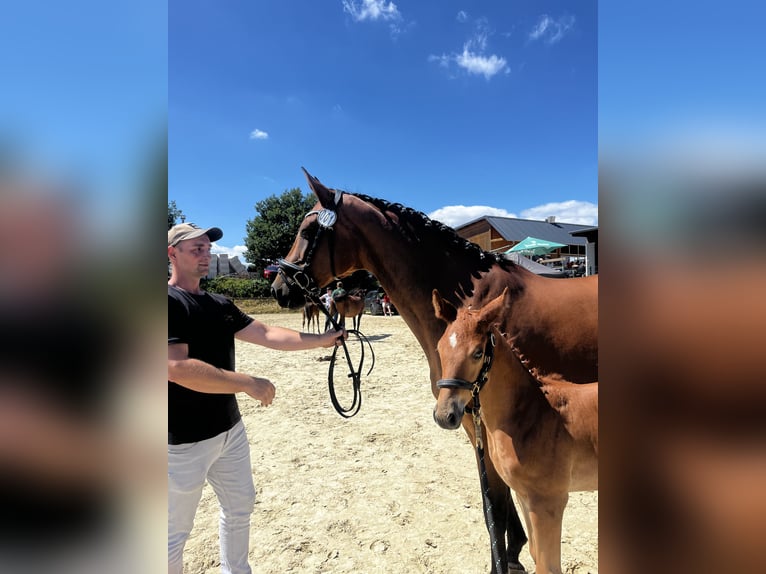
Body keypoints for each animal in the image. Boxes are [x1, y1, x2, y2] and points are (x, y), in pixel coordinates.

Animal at [432, 287, 598, 574]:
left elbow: (547, 567)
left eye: (477, 353)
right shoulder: (523, 496)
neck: (533, 415)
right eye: (439, 348)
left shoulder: (549, 503)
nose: (445, 416)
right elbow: (534, 554)